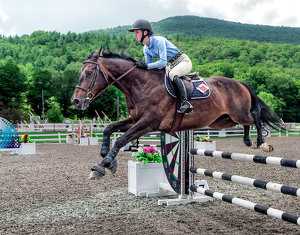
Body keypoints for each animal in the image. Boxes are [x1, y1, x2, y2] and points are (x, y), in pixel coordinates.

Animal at [71, 48, 282, 179]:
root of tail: (239, 82)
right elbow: (109, 129)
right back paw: (247, 140)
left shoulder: (149, 122)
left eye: (88, 73)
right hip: (223, 120)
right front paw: (106, 157)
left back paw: (261, 142)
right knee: (247, 122)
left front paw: (102, 166)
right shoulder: (135, 119)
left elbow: (121, 140)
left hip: (237, 113)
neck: (140, 85)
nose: (76, 101)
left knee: (255, 116)